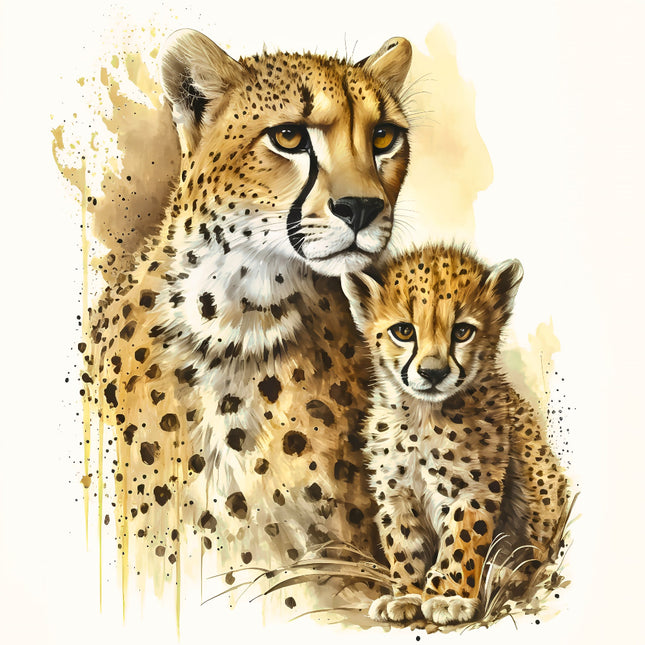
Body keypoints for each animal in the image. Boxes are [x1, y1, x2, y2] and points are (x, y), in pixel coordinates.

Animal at [341, 243, 569, 626]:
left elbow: (462, 541)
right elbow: (401, 542)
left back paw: (504, 573)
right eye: (403, 331)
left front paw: (449, 597)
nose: (433, 373)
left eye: (462, 332)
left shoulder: (474, 490)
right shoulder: (395, 491)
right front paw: (405, 594)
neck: (421, 415)